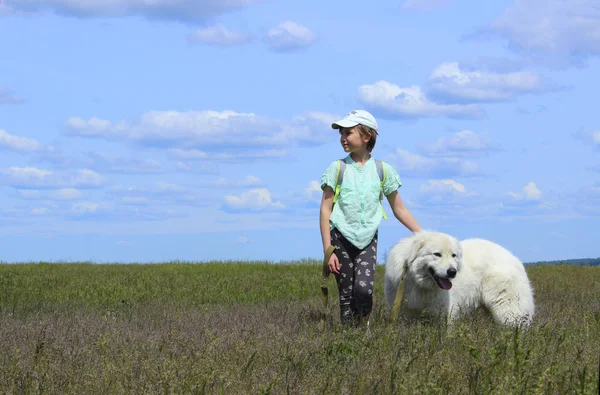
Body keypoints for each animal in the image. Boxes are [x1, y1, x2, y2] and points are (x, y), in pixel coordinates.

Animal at [384, 232, 536, 328]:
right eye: (437, 254)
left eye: (453, 255)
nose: (452, 272)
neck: (419, 283)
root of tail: (513, 258)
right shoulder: (405, 313)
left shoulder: (441, 314)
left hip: (507, 308)